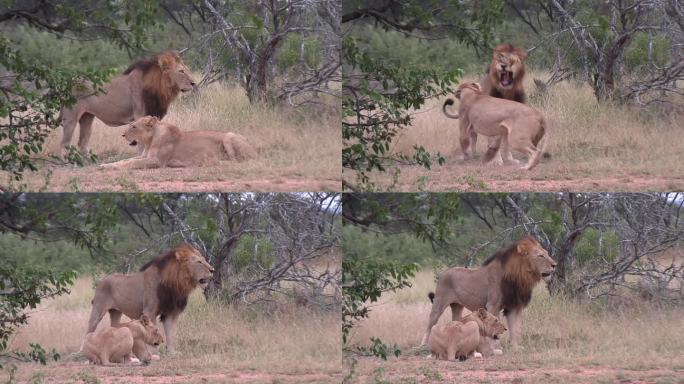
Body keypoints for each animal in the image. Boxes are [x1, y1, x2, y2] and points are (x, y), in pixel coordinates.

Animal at [58, 50, 195, 154]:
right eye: (181, 71)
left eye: (187, 69)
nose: (193, 83)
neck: (159, 87)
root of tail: (68, 82)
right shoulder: (139, 114)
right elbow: (140, 142)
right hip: (71, 117)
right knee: (64, 143)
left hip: (87, 117)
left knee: (82, 141)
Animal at [98, 114, 254, 168]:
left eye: (134, 126)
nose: (123, 135)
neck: (149, 141)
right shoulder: (144, 156)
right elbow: (126, 160)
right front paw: (105, 165)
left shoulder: (156, 161)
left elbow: (131, 163)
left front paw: (111, 167)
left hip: (229, 135)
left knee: (237, 161)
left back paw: (211, 161)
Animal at [416, 236, 556, 350]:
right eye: (540, 256)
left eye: (547, 253)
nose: (555, 265)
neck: (519, 277)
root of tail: (444, 273)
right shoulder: (493, 305)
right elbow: (496, 327)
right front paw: (496, 346)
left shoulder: (514, 306)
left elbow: (515, 328)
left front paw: (516, 347)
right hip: (439, 304)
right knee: (430, 324)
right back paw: (423, 345)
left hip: (457, 306)